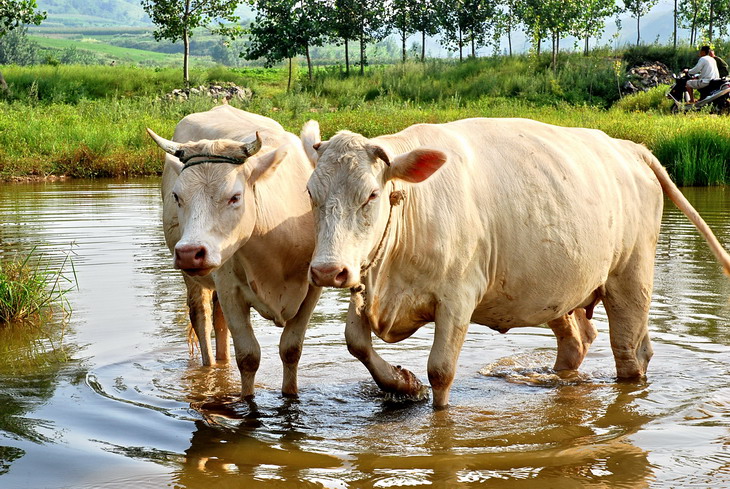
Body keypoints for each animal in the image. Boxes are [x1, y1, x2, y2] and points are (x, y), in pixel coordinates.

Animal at [147, 104, 318, 396]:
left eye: (235, 197)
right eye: (177, 196)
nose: (189, 252)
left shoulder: (312, 291)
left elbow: (291, 350)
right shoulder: (230, 290)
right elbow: (249, 356)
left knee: (219, 323)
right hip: (196, 277)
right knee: (202, 319)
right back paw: (210, 366)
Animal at [302, 118, 728, 408]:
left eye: (371, 195)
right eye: (310, 192)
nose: (327, 270)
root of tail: (629, 148)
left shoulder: (458, 296)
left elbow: (441, 371)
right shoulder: (365, 277)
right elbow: (356, 342)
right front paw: (402, 383)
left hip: (631, 276)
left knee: (629, 352)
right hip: (559, 287)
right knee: (578, 341)